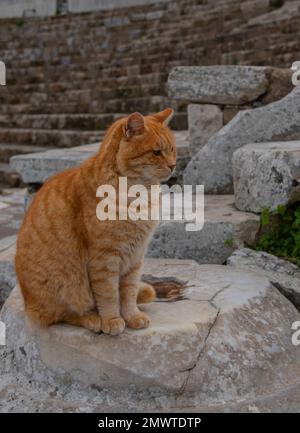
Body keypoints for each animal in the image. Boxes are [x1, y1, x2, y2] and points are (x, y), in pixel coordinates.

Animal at [14, 107, 176, 334]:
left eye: (172, 150)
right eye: (156, 152)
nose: (173, 165)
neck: (139, 194)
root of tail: (27, 302)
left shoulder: (136, 257)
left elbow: (128, 292)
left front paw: (132, 316)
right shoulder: (104, 258)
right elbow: (108, 294)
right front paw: (112, 320)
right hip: (66, 285)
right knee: (62, 315)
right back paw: (92, 319)